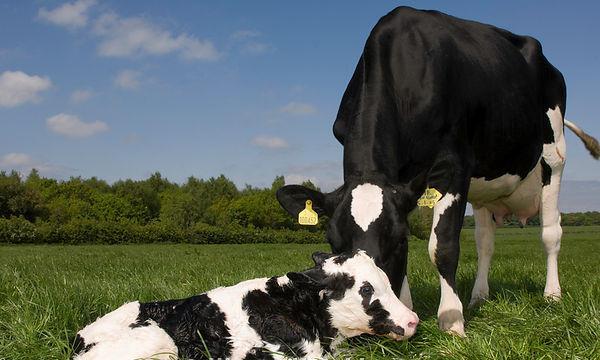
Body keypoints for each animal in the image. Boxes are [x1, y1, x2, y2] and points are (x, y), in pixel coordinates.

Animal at [278, 6, 600, 338]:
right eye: (332, 240)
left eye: (399, 239)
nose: (369, 331)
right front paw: (407, 306)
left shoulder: (454, 165)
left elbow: (442, 246)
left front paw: (451, 319)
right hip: (486, 187)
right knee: (485, 242)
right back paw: (478, 296)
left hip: (553, 155)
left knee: (551, 232)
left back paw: (552, 295)